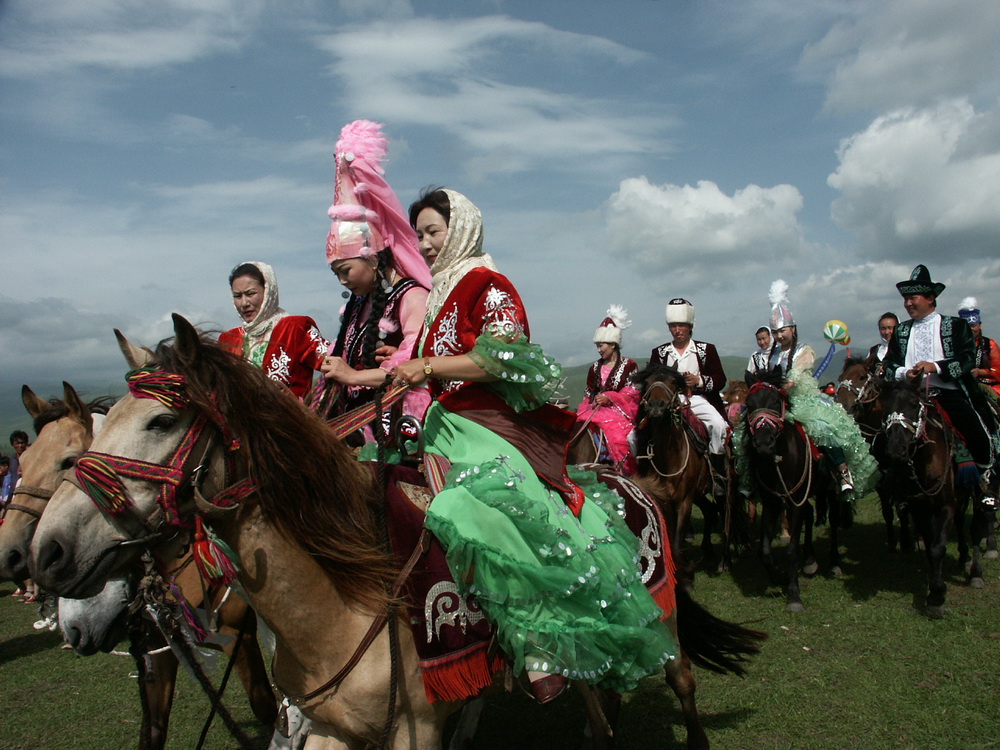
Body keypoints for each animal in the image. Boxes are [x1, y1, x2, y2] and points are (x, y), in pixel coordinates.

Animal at [2, 384, 278, 748]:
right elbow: (153, 729)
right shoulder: (158, 645)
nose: (14, 553)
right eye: (23, 461)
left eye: (68, 461)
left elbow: (268, 706)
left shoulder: (240, 635)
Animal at [33, 316, 764, 750]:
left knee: (683, 681)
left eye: (160, 423)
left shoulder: (413, 733)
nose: (48, 551)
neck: (344, 596)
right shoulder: (331, 732)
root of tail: (632, 485)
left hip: (659, 619)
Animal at [740, 374, 848, 612]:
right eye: (749, 404)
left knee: (834, 521)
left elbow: (791, 550)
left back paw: (834, 563)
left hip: (830, 491)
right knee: (810, 514)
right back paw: (809, 560)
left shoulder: (795, 501)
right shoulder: (772, 502)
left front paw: (794, 595)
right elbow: (764, 550)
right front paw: (778, 576)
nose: (764, 444)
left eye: (775, 402)